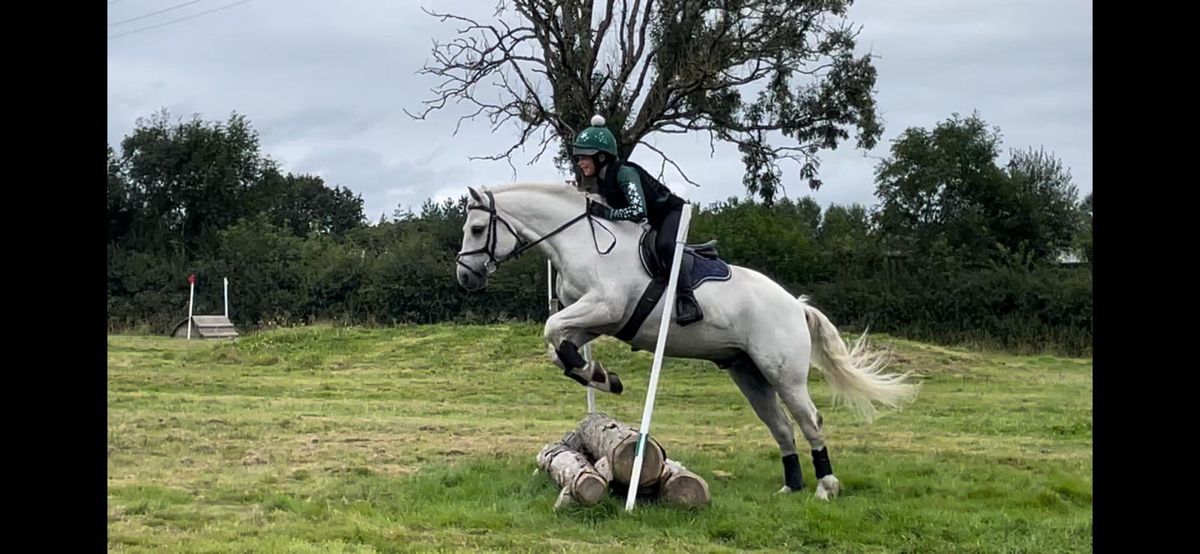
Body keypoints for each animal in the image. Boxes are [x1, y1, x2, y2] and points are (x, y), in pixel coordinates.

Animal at [451, 182, 916, 501]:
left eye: (477, 228)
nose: (465, 278)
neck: (581, 241)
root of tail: (795, 305)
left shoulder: (603, 306)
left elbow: (551, 329)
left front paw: (596, 374)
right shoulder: (598, 319)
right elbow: (556, 344)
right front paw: (599, 375)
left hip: (782, 371)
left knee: (810, 421)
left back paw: (825, 486)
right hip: (747, 372)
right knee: (782, 426)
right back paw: (791, 487)